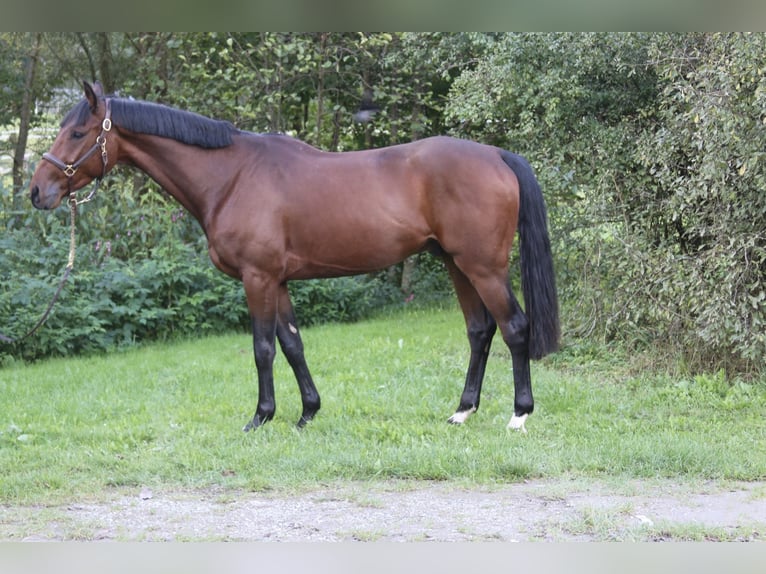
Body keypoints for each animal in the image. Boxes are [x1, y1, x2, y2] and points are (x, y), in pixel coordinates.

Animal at [30, 81, 560, 432]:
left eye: (77, 133)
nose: (38, 191)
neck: (231, 177)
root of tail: (496, 155)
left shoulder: (257, 278)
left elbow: (263, 348)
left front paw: (261, 417)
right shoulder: (278, 280)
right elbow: (292, 345)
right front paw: (307, 413)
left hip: (483, 267)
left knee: (514, 327)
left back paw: (519, 415)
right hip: (456, 264)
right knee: (480, 330)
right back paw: (462, 410)